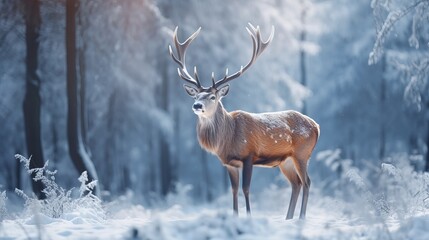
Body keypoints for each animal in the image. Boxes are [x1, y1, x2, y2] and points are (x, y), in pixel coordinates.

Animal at [167, 23, 318, 219]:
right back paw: (288, 218)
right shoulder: (229, 163)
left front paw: (249, 217)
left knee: (307, 182)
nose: (197, 105)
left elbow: (246, 189)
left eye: (213, 96)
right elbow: (233, 190)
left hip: (302, 153)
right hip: (285, 161)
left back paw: (301, 218)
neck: (228, 139)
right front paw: (235, 216)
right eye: (196, 96)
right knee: (296, 184)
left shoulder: (249, 155)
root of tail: (316, 126)